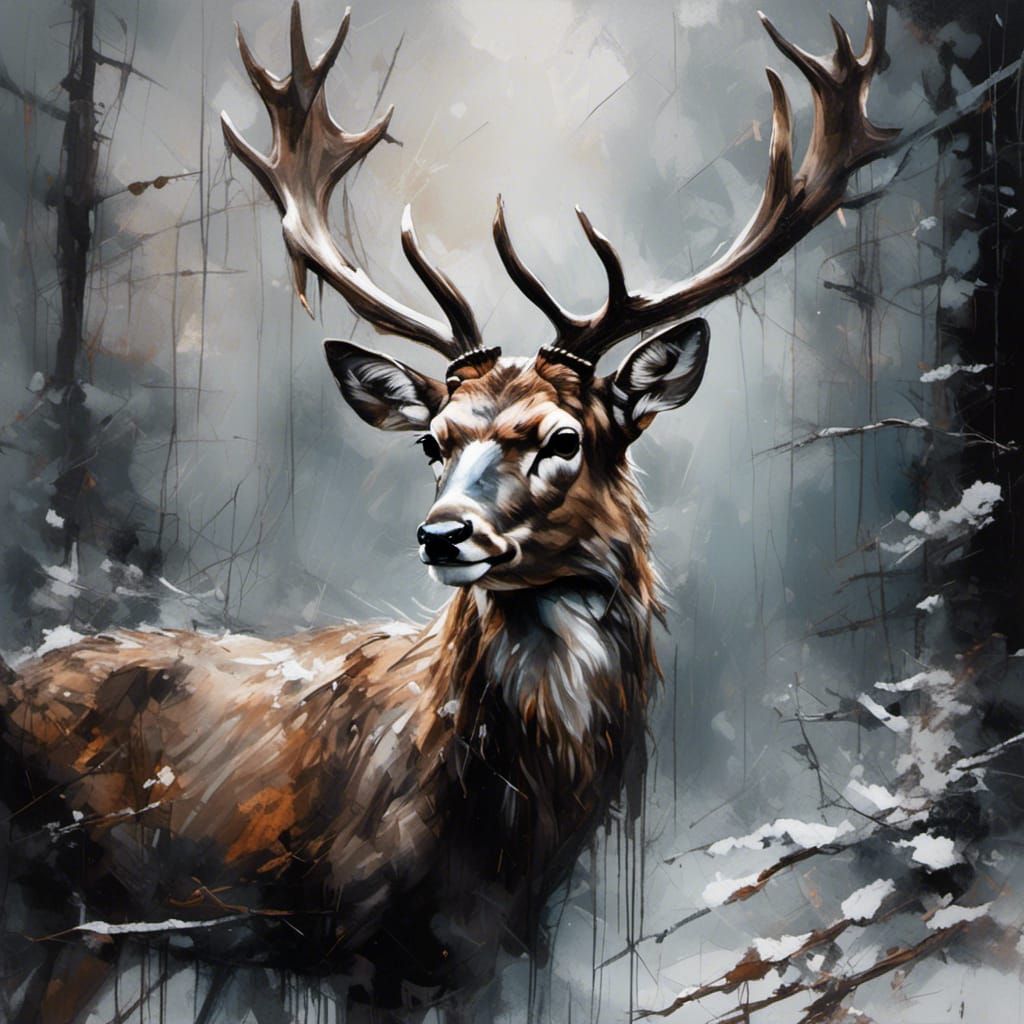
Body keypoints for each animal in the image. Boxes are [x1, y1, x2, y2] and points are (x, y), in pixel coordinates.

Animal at [0, 4, 897, 1021]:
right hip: (62, 908)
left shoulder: (488, 956)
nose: (442, 534)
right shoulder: (357, 943)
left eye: (564, 438)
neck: (499, 834)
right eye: (432, 441)